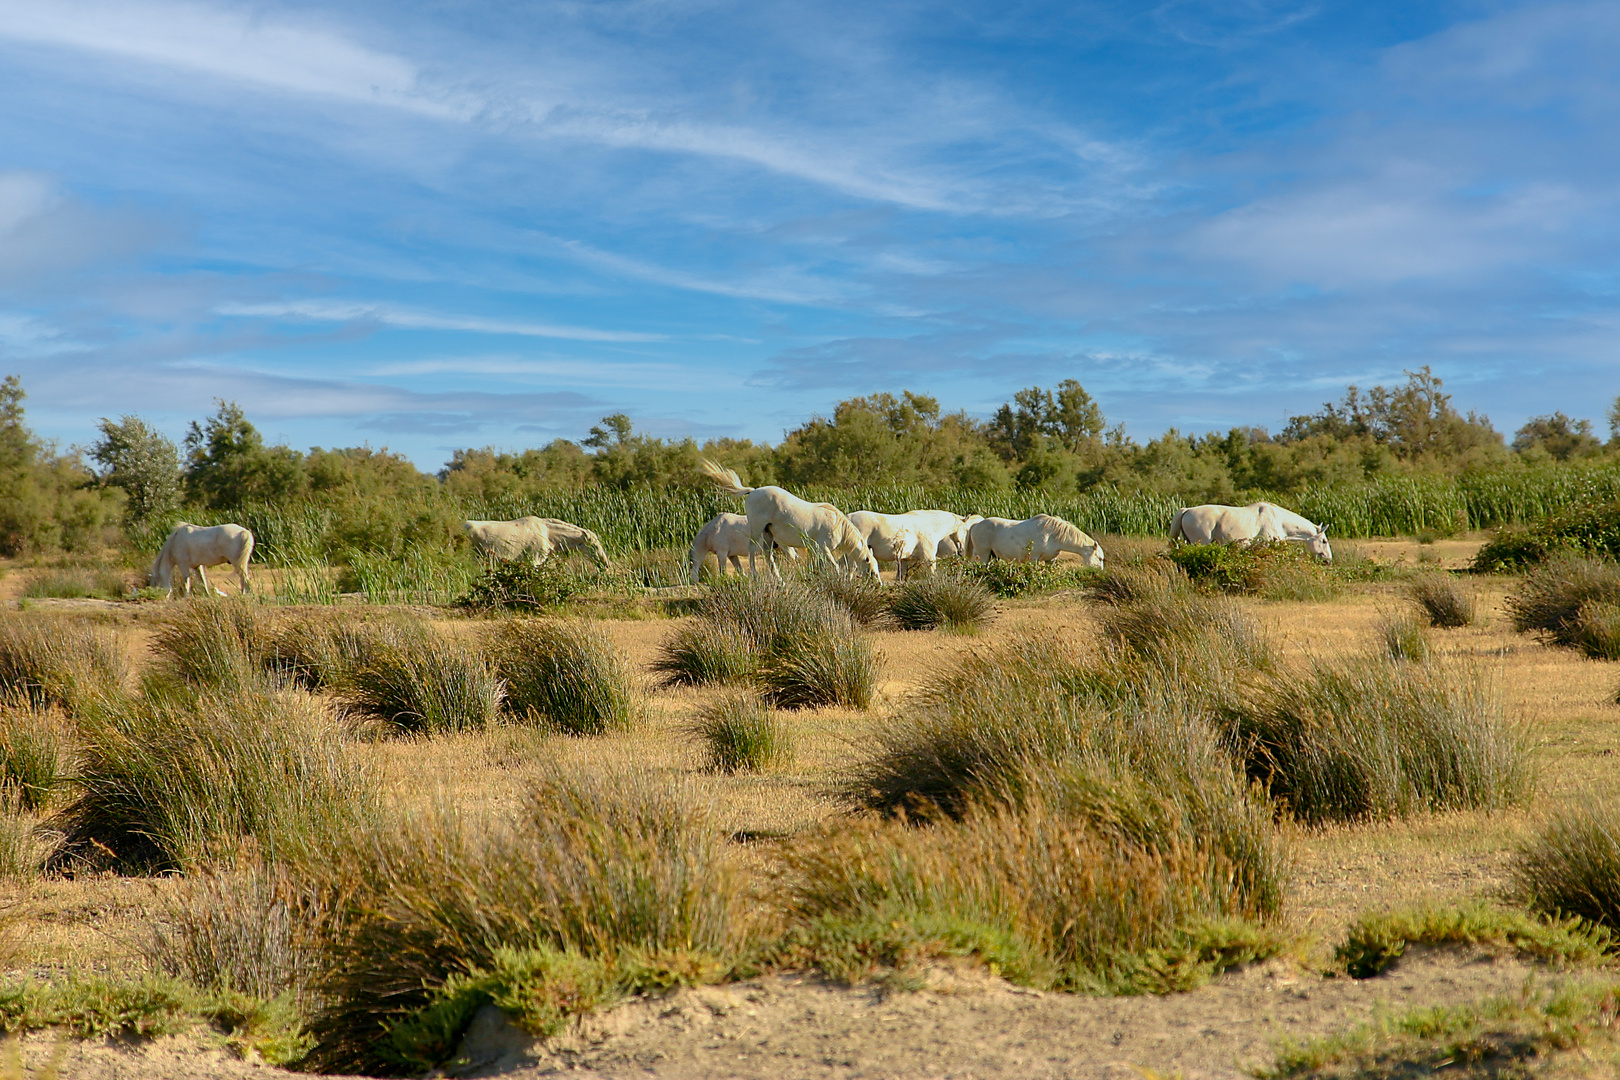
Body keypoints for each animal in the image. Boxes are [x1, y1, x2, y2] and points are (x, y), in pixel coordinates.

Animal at [693, 463, 881, 586]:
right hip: (757, 530)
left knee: (768, 556)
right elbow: (834, 565)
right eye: (871, 570)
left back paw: (779, 579)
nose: (879, 585)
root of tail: (753, 491)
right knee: (752, 551)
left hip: (768, 535)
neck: (839, 526)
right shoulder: (824, 547)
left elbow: (822, 565)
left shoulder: (817, 549)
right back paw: (755, 576)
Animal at [965, 514, 1108, 569]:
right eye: (1100, 558)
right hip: (984, 555)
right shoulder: (1034, 558)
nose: (1099, 572)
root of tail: (976, 525)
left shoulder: (1050, 560)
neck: (1052, 535)